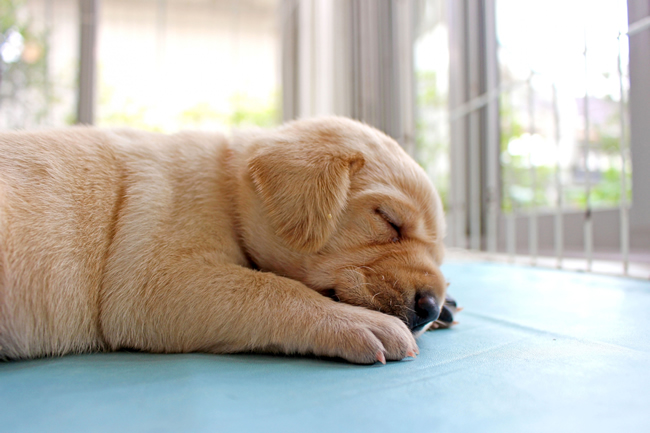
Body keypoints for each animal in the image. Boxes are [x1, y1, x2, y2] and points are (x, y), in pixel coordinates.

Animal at [0, 116, 454, 362]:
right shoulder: (156, 279)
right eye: (389, 222)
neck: (230, 187)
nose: (430, 308)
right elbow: (271, 287)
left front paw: (448, 308)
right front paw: (361, 322)